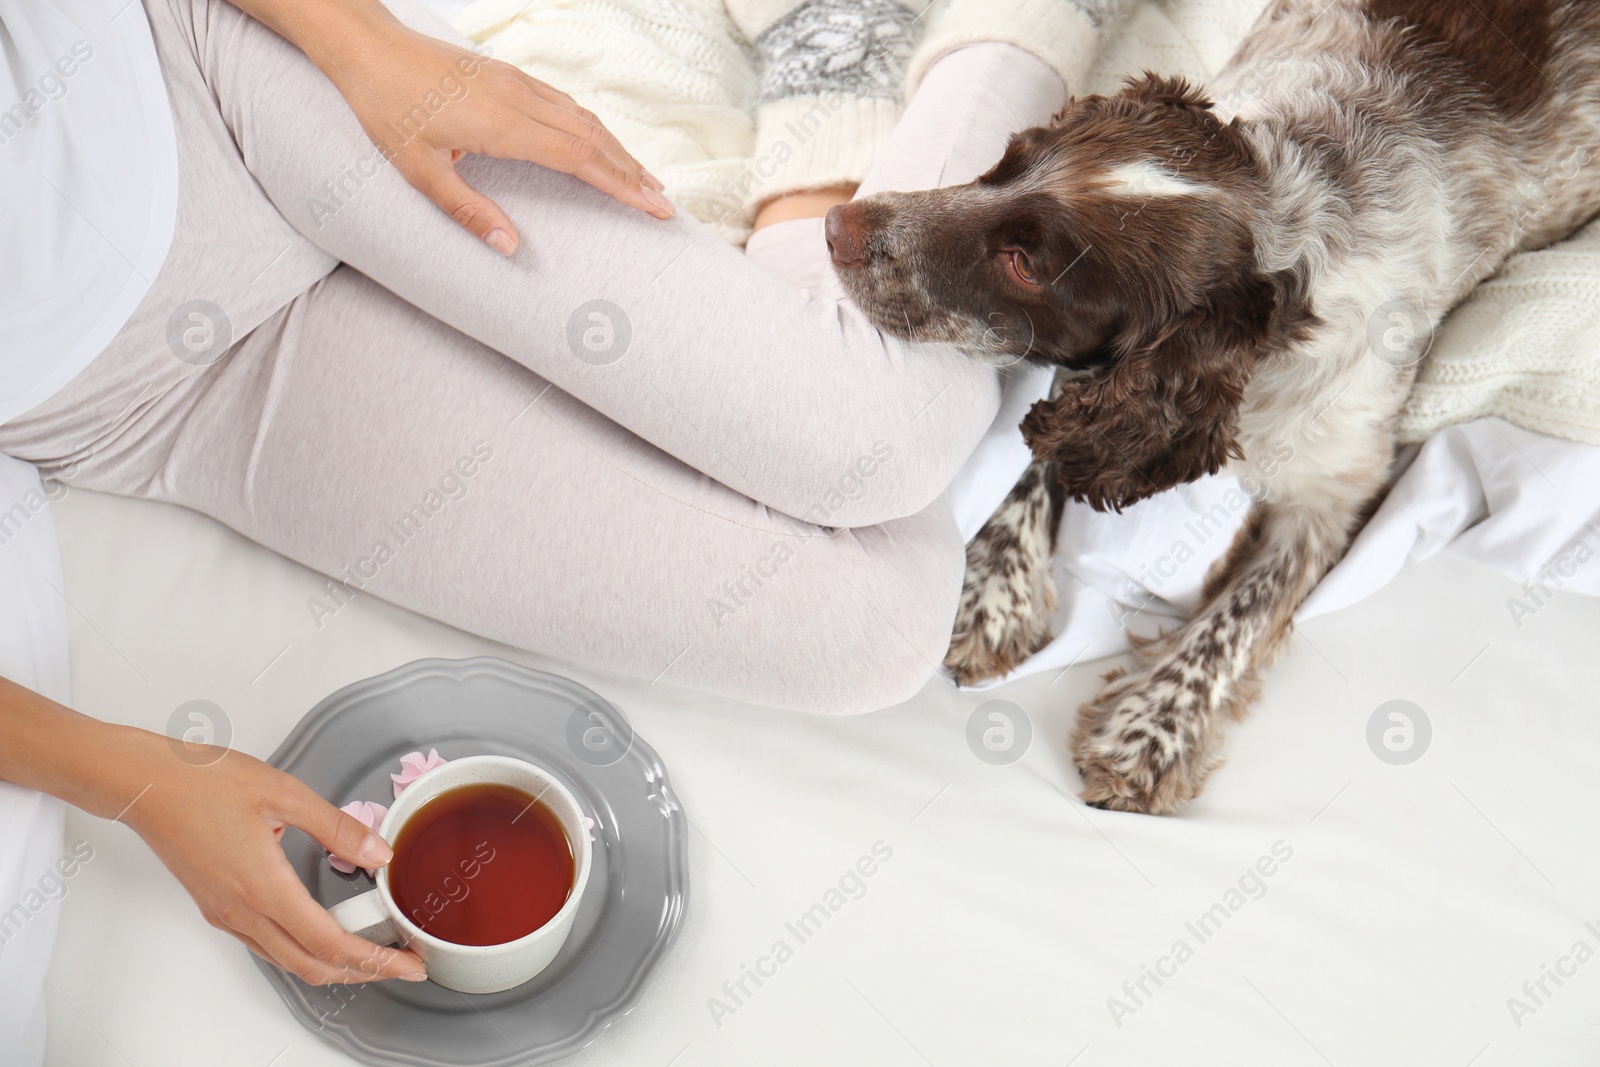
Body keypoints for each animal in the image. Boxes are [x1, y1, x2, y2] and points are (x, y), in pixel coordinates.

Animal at [825, 0, 1600, 812]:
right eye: (1006, 160)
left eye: (1023, 264)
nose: (837, 225)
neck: (1296, 220)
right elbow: (1051, 442)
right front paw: (991, 591)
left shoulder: (1336, 488)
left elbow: (1243, 613)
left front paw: (1151, 730)